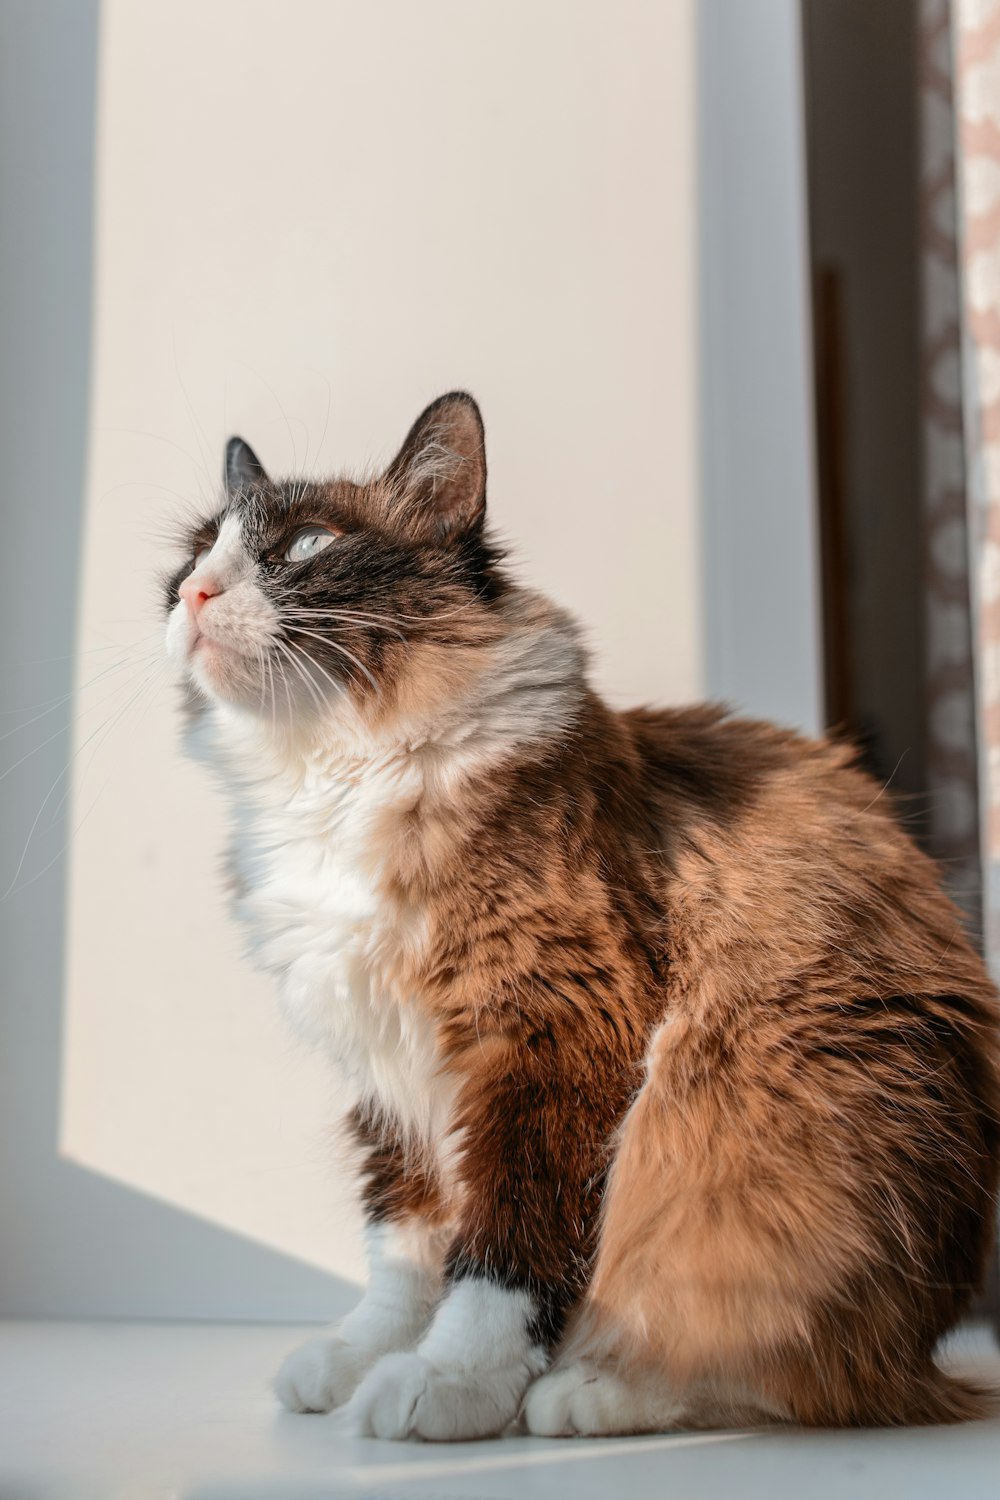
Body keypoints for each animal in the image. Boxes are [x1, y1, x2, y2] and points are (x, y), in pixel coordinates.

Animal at [164, 390, 1000, 1440]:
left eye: (308, 544)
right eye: (197, 553)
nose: (193, 595)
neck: (332, 776)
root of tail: (924, 1347)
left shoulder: (553, 1034)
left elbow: (503, 1254)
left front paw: (447, 1383)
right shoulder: (386, 1071)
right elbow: (401, 1250)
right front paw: (358, 1363)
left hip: (744, 1102)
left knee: (779, 1366)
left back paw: (589, 1393)